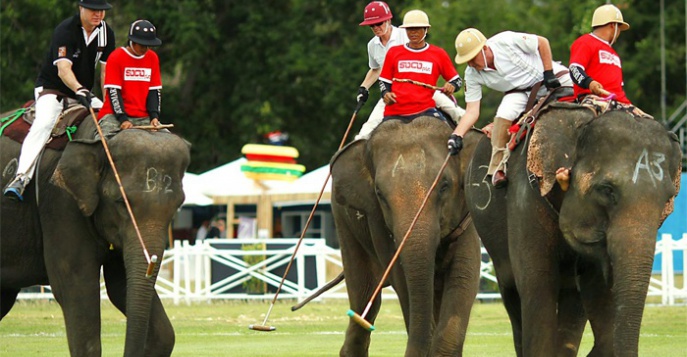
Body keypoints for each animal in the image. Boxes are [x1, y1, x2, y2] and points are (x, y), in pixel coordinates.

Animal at [0, 112, 191, 356]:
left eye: (178, 205)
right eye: (121, 202)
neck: (99, 139)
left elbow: (122, 288)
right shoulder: (60, 205)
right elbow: (76, 287)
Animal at [330, 115, 482, 354]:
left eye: (444, 186)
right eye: (380, 194)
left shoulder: (465, 216)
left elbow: (464, 274)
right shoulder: (377, 221)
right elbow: (402, 281)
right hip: (344, 223)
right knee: (364, 295)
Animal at [464, 101, 684, 354]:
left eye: (668, 198)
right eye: (607, 190)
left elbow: (599, 292)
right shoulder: (527, 194)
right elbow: (538, 283)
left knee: (573, 297)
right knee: (511, 289)